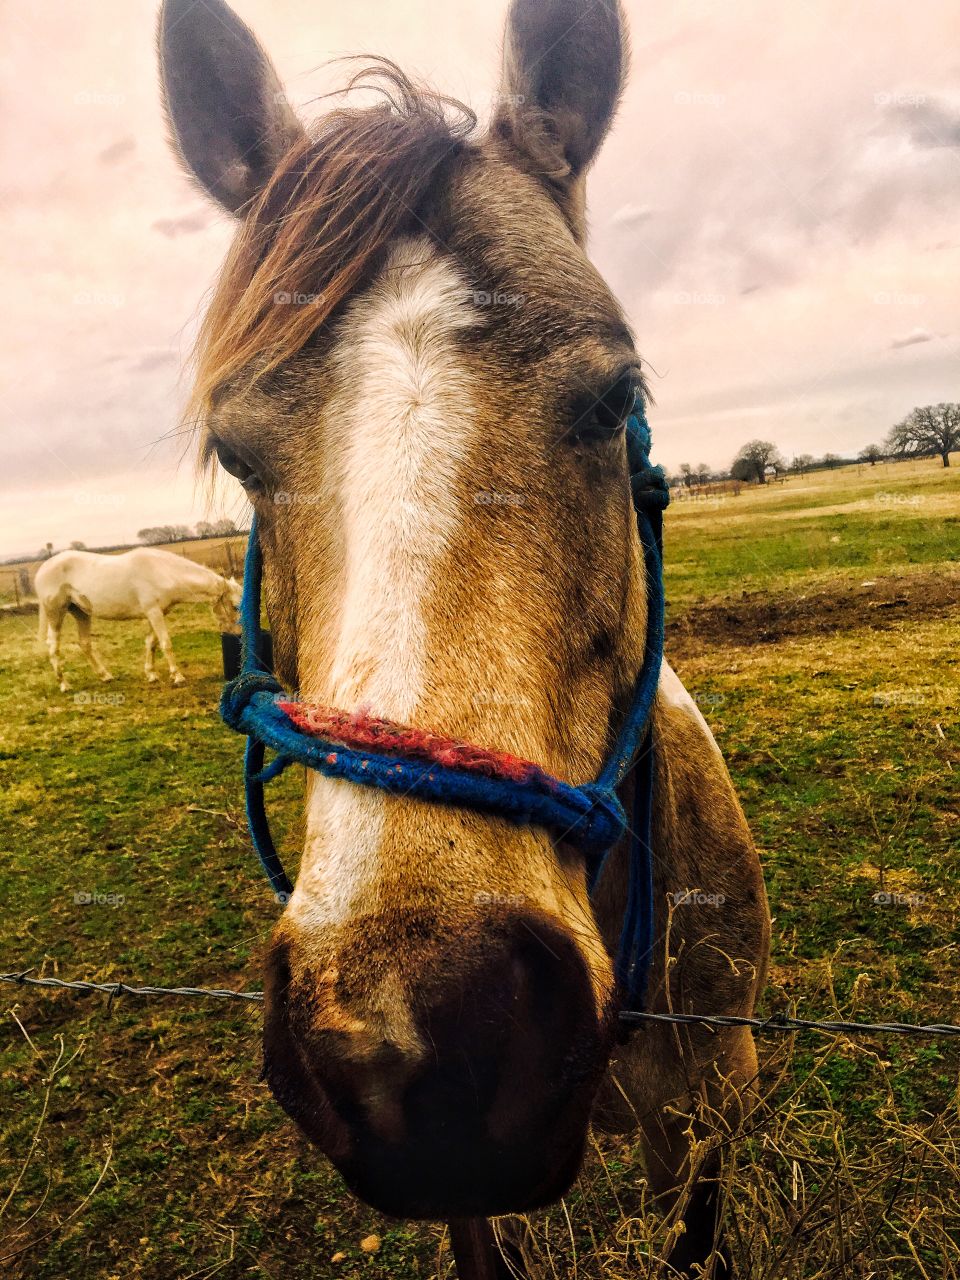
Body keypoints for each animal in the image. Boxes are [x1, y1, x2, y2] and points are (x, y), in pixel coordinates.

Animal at [35, 547, 241, 691]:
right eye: (235, 606)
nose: (239, 634)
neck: (162, 571)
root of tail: (43, 568)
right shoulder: (153, 612)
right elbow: (166, 643)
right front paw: (177, 676)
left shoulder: (156, 613)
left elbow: (151, 643)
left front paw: (151, 674)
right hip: (56, 614)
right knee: (53, 646)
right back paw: (64, 685)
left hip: (82, 614)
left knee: (85, 643)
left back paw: (105, 676)